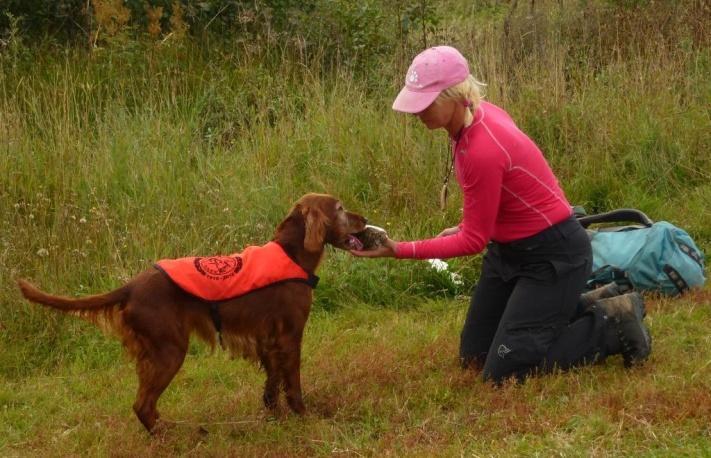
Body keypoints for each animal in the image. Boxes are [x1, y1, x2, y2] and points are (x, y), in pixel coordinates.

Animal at [16, 193, 368, 432]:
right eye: (339, 209)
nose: (364, 220)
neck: (292, 254)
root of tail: (131, 286)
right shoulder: (290, 336)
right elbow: (292, 383)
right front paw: (303, 417)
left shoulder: (267, 340)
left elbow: (272, 385)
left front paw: (275, 416)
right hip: (169, 351)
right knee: (142, 405)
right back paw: (171, 435)